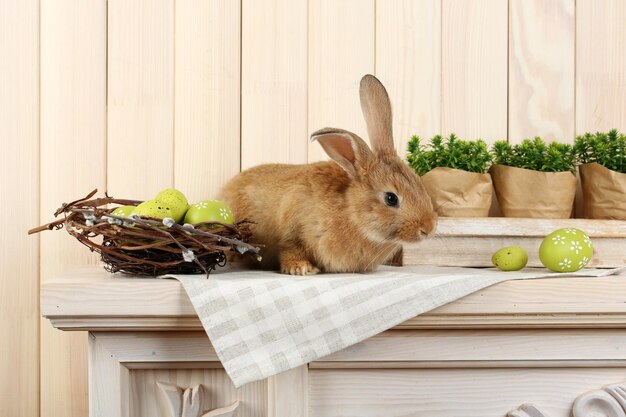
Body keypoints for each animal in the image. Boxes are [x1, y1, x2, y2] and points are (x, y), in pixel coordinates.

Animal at [219, 75, 434, 274]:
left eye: (419, 183)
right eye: (391, 198)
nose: (428, 229)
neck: (352, 213)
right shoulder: (294, 228)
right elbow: (291, 248)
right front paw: (301, 269)